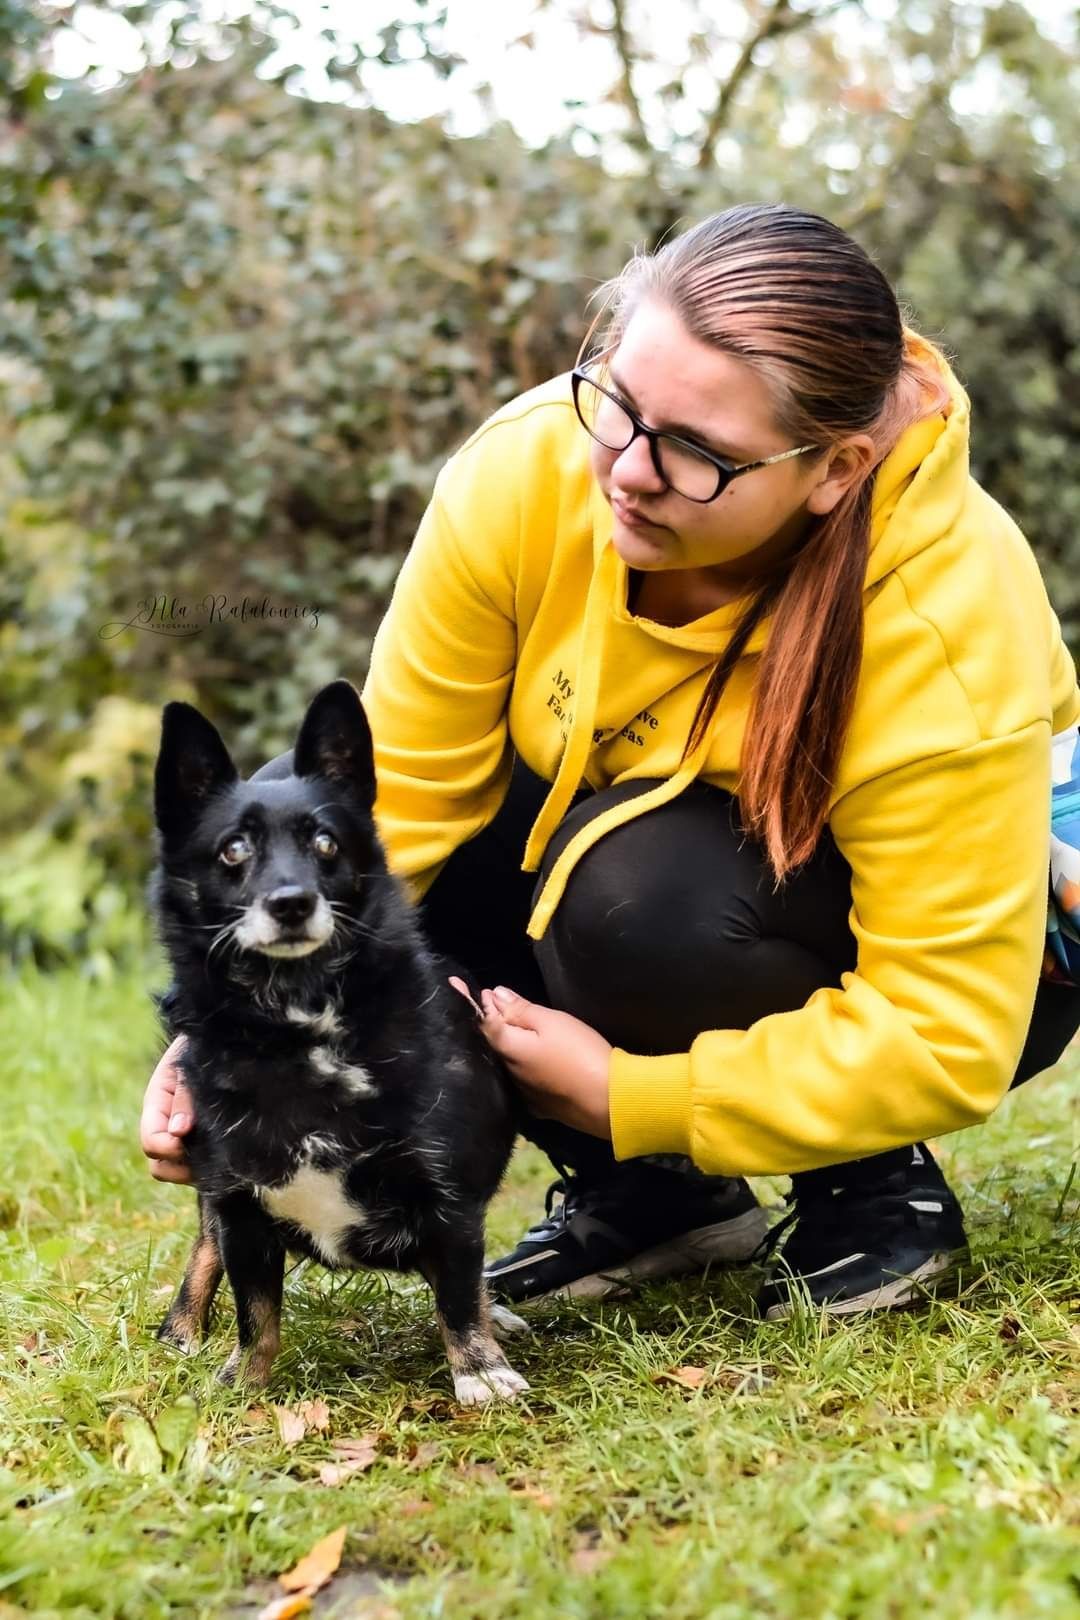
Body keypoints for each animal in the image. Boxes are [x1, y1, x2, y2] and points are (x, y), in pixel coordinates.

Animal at [149, 677, 531, 1399]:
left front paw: (480, 1370)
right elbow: (255, 1313)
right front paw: (245, 1385)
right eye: (233, 850)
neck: (298, 1028)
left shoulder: (449, 1198)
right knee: (204, 1246)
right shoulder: (239, 1209)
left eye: (326, 844)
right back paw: (181, 1328)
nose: (291, 903)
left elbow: (457, 1294)